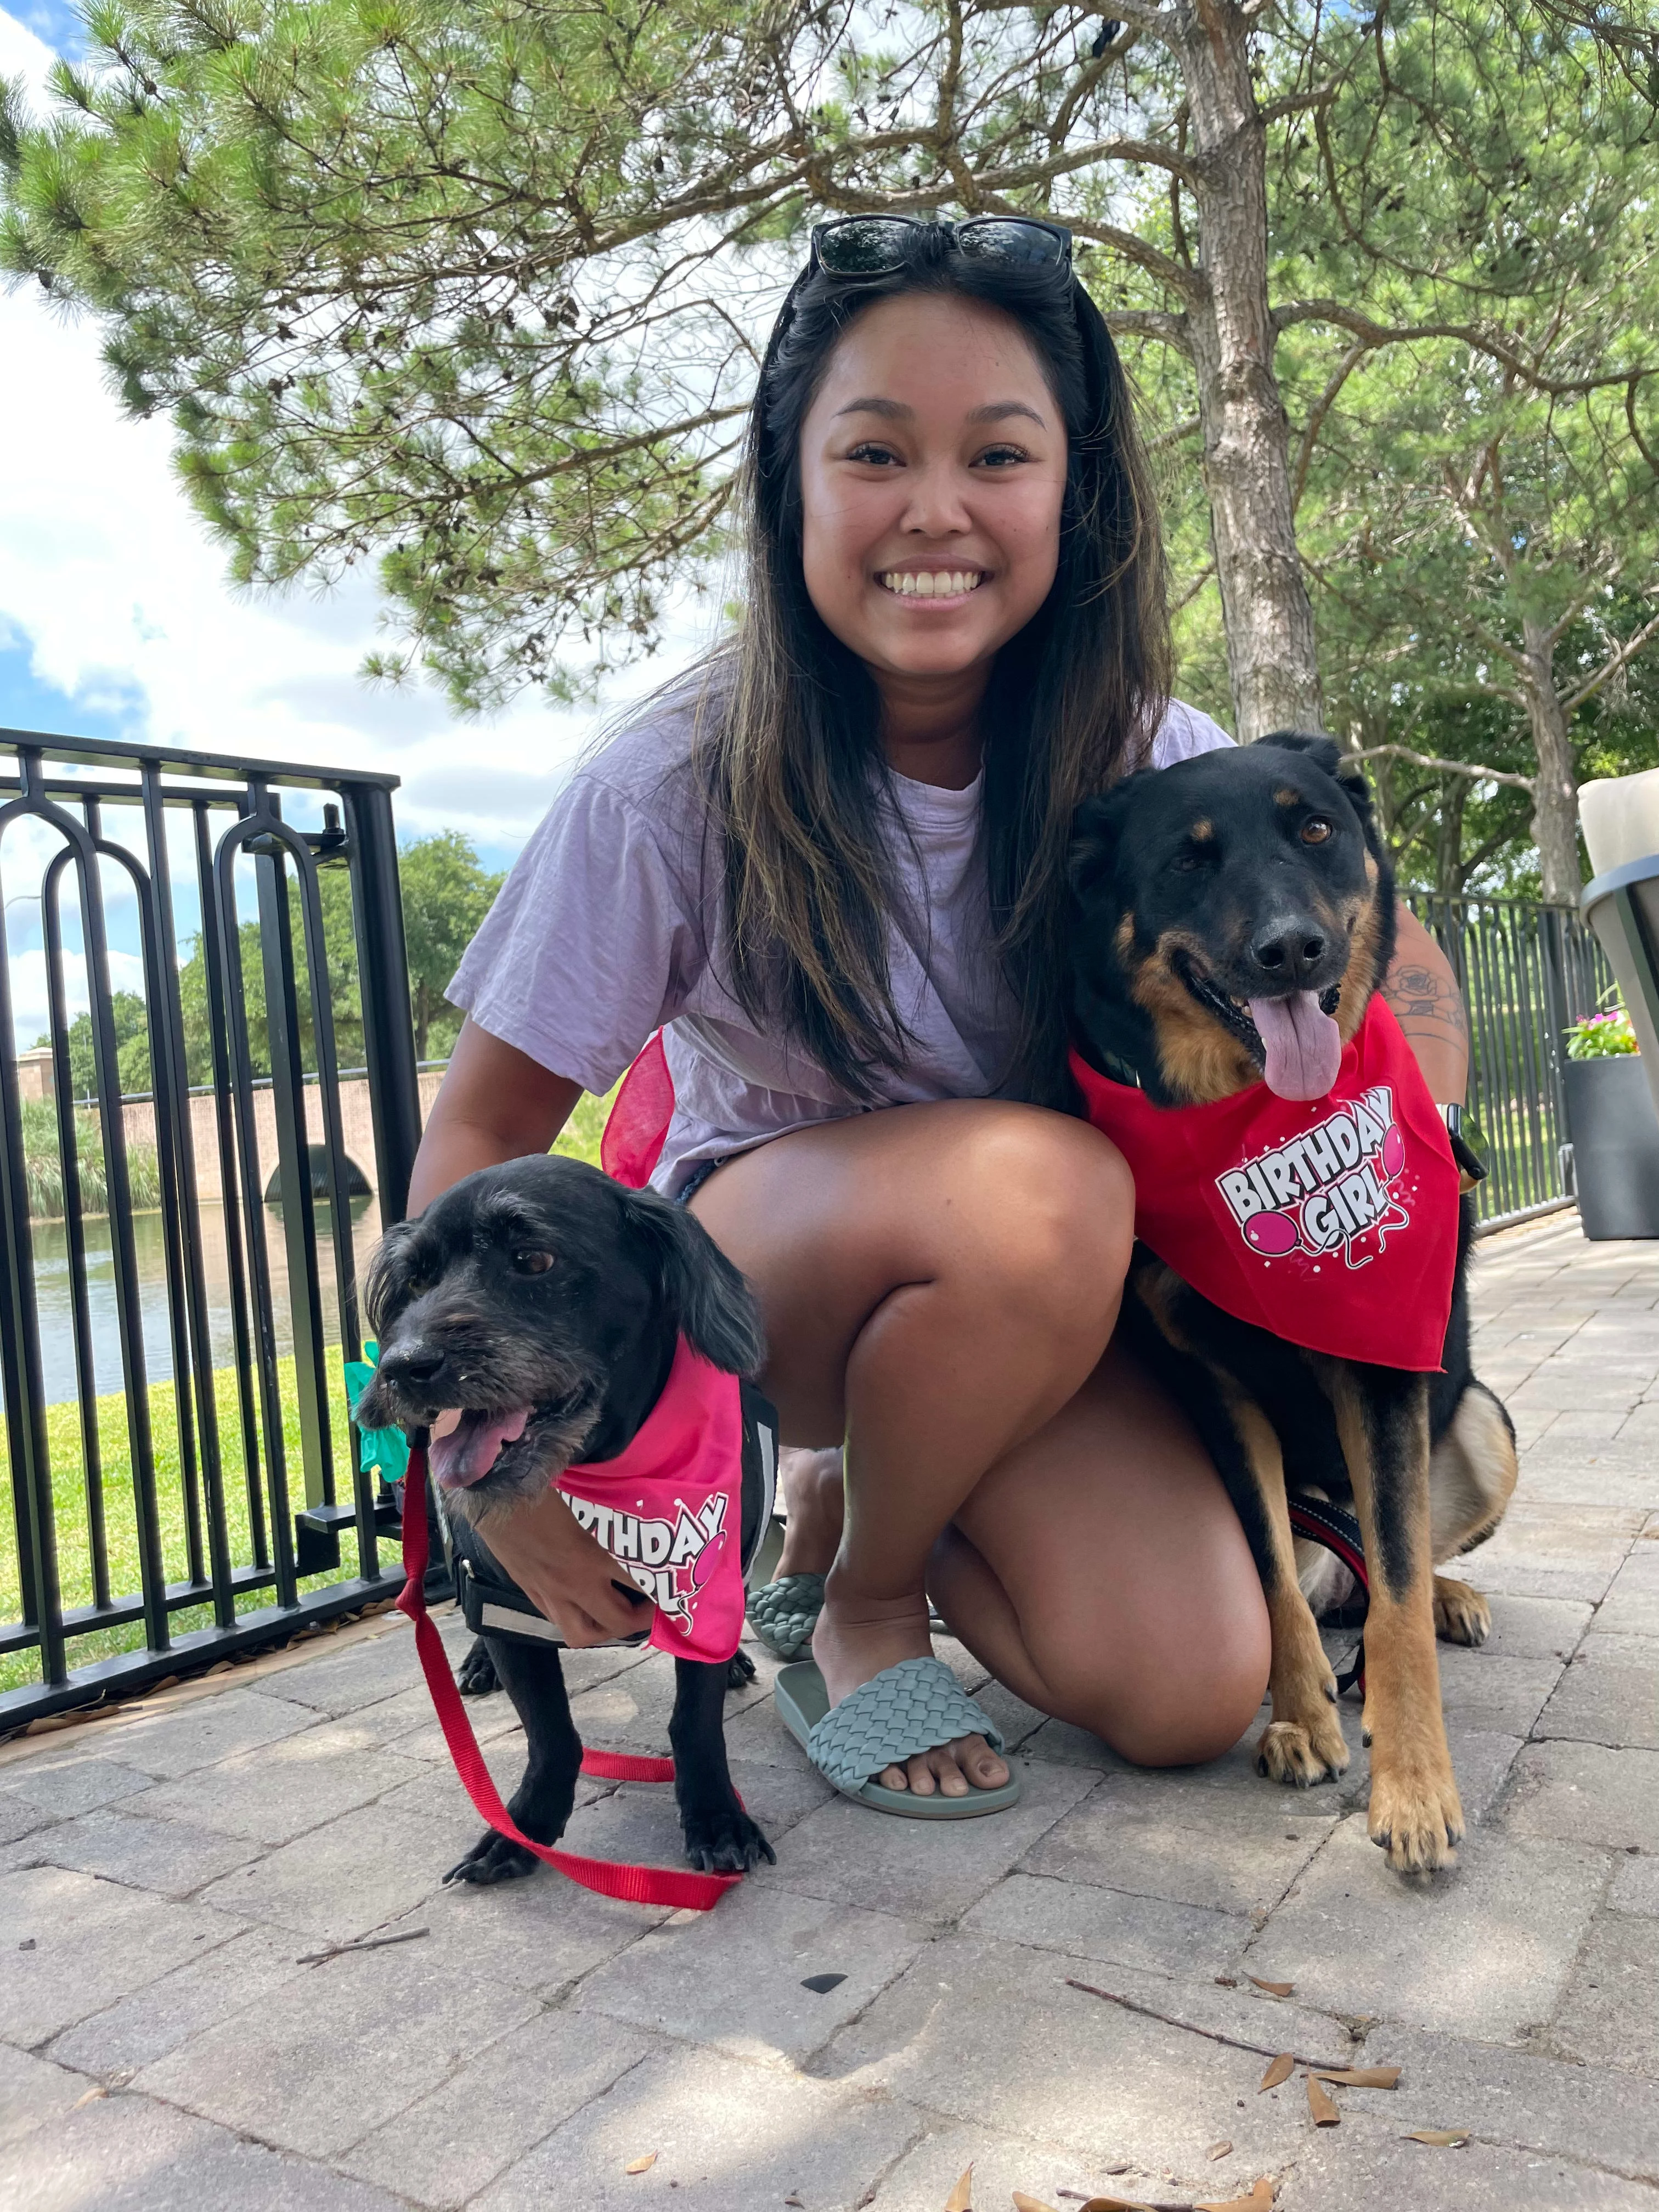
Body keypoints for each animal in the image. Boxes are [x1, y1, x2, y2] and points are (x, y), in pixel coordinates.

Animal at [358, 1159, 778, 1884]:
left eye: (533, 1259)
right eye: (415, 1281)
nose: (401, 1367)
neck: (607, 1479)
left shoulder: (706, 1591)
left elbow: (694, 1721)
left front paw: (716, 1817)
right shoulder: (507, 1607)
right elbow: (550, 1733)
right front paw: (522, 1828)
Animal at [1066, 734, 1522, 1876]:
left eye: (1314, 827)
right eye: (1186, 859)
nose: (1292, 952)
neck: (1256, 1125)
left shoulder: (1380, 1374)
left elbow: (1396, 1592)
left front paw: (1412, 1787)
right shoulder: (1214, 1389)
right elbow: (1266, 1567)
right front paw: (1301, 1718)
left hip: (1482, 1423)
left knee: (1403, 1562)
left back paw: (1450, 1597)